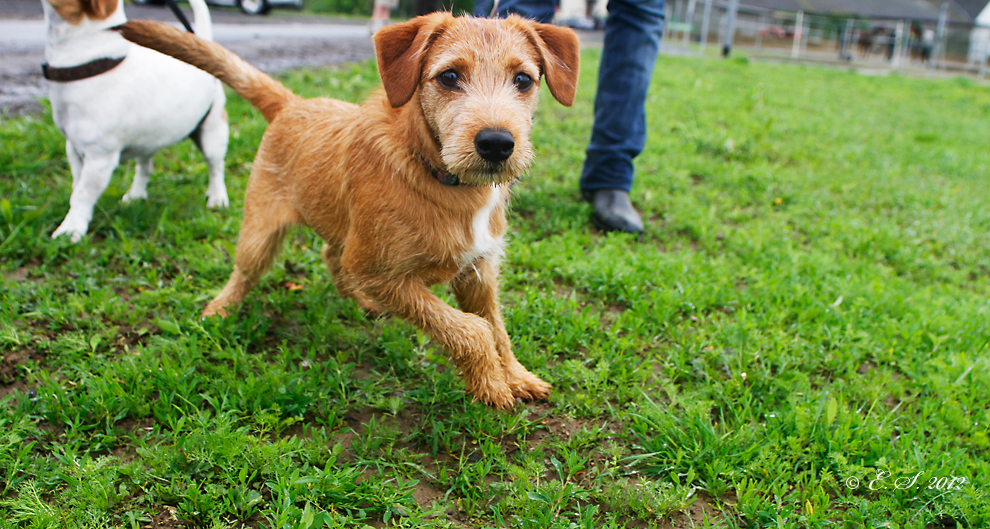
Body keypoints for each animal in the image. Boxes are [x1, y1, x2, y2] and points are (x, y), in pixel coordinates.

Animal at [42, 0, 229, 239]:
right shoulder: (73, 149)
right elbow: (77, 185)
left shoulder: (99, 158)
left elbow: (81, 194)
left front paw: (71, 228)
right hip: (147, 141)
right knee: (144, 168)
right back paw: (136, 195)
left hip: (212, 134)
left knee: (216, 168)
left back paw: (217, 198)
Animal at [116, 12, 580, 408]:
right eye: (449, 76)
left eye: (524, 79)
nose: (497, 143)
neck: (437, 175)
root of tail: (292, 104)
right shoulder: (381, 271)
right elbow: (468, 329)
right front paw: (490, 382)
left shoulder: (478, 272)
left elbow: (496, 327)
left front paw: (516, 375)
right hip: (261, 233)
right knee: (246, 272)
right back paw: (221, 310)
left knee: (330, 253)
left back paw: (360, 300)